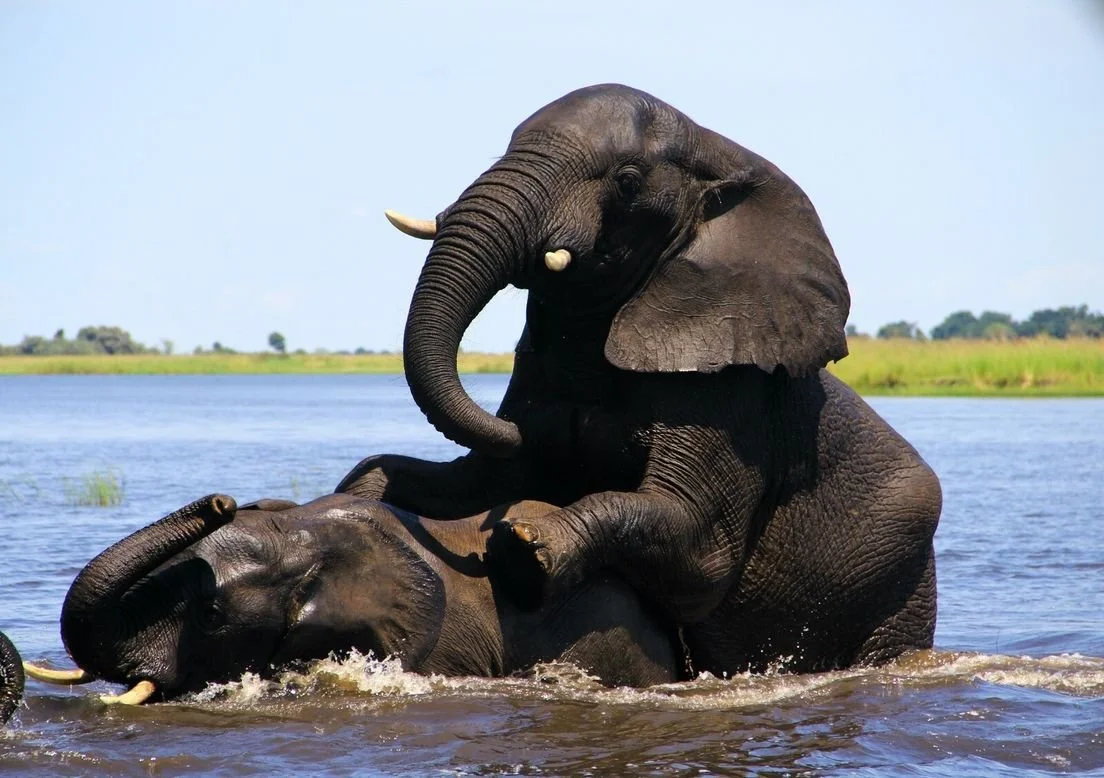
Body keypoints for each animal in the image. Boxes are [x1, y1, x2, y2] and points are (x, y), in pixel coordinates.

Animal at [339, 83, 943, 675]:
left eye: (627, 182)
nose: (520, 426)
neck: (717, 154)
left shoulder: (729, 397)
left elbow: (697, 547)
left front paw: (525, 550)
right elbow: (484, 481)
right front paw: (365, 498)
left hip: (899, 589)